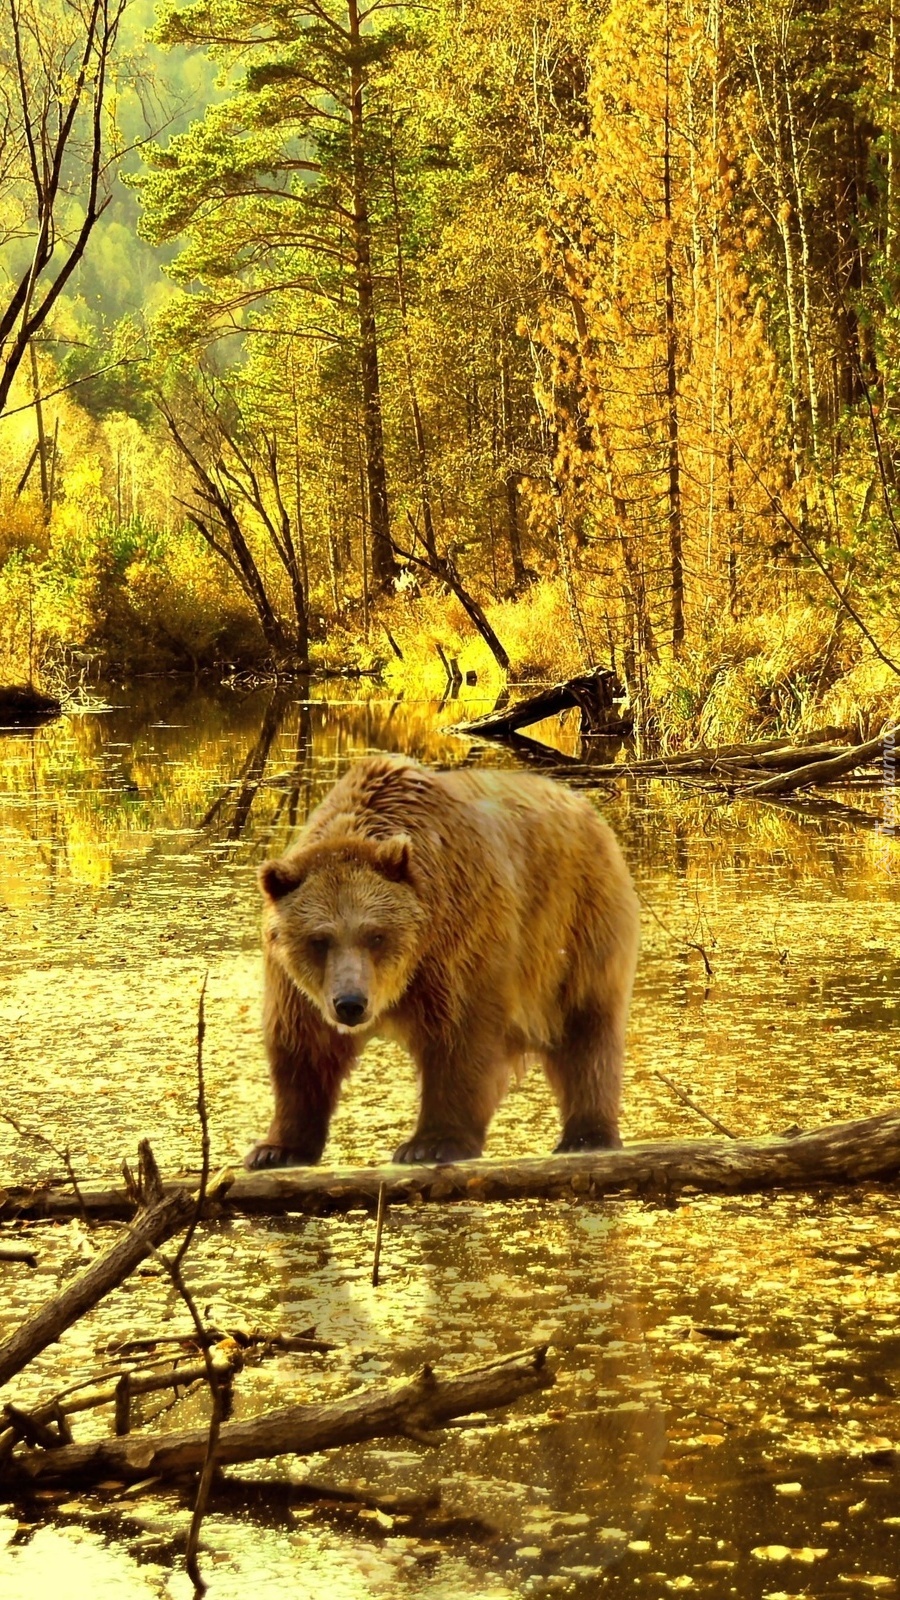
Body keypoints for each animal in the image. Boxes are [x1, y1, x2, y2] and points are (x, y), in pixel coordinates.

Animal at [245, 755, 637, 1171]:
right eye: (319, 940)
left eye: (376, 935)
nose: (351, 1003)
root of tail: (583, 804)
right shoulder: (298, 985)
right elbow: (302, 1047)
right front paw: (275, 1149)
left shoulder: (459, 937)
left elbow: (460, 1035)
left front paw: (430, 1143)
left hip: (576, 920)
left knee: (587, 1026)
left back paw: (587, 1135)